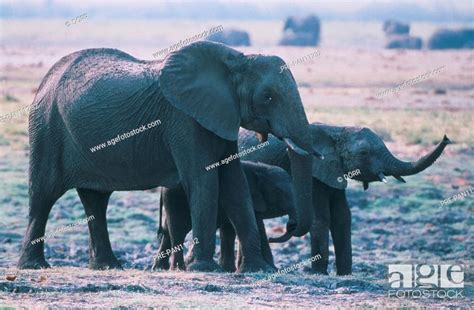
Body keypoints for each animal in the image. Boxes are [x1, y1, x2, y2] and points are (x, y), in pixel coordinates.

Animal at [154, 161, 294, 272]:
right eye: (279, 192)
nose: (272, 238)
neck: (261, 169)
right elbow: (256, 226)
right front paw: (271, 269)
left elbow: (230, 228)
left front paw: (229, 269)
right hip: (174, 199)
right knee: (178, 229)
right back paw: (179, 268)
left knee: (168, 232)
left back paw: (161, 268)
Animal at [239, 122, 450, 274]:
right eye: (364, 153)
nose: (447, 138)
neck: (337, 130)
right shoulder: (315, 171)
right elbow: (321, 218)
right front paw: (319, 274)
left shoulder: (334, 171)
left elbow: (343, 217)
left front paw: (345, 274)